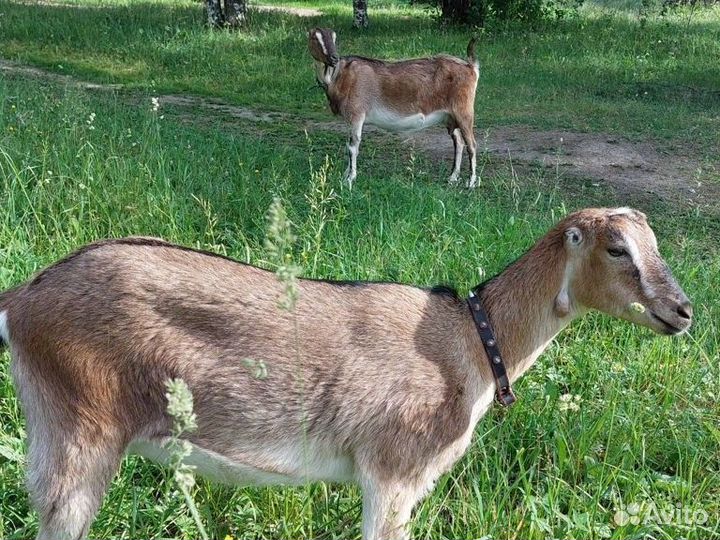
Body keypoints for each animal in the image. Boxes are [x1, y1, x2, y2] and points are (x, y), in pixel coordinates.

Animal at [0, 207, 692, 540]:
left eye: (655, 246)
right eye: (617, 249)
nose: (682, 311)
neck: (469, 342)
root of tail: (20, 299)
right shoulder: (393, 470)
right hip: (78, 432)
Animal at [308, 28, 480, 188]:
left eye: (334, 37)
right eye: (315, 38)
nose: (334, 58)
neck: (339, 75)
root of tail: (471, 66)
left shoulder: (357, 114)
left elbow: (353, 146)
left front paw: (350, 178)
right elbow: (349, 145)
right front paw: (345, 175)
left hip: (464, 111)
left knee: (471, 144)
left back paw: (471, 182)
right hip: (449, 117)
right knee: (459, 142)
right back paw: (452, 177)